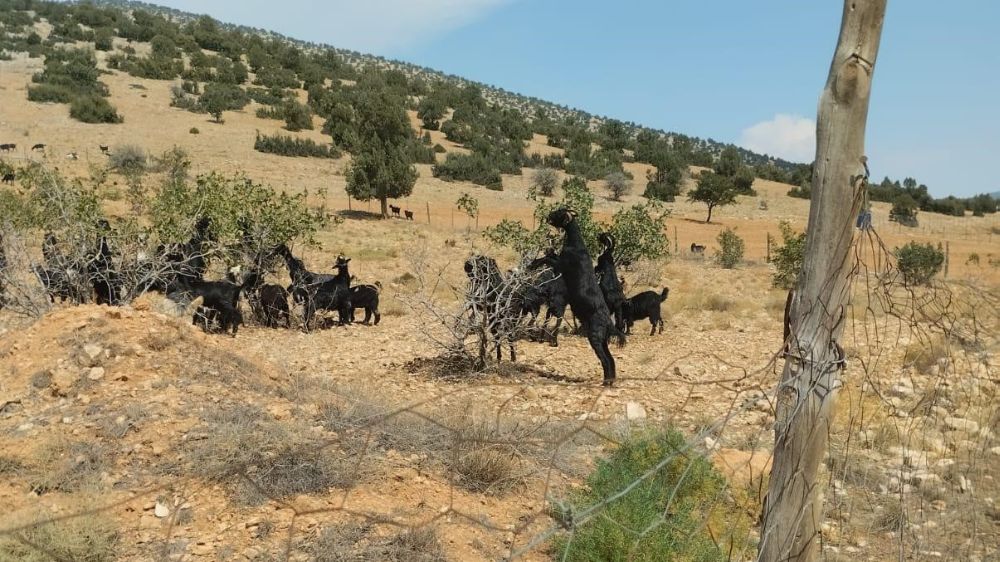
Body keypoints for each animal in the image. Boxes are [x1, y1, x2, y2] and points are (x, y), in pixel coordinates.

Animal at [548, 207, 624, 384]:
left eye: (559, 212)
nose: (548, 215)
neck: (575, 243)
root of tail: (608, 322)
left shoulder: (560, 265)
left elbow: (548, 259)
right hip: (602, 341)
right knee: (611, 359)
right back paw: (610, 380)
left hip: (595, 338)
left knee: (605, 360)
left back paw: (606, 382)